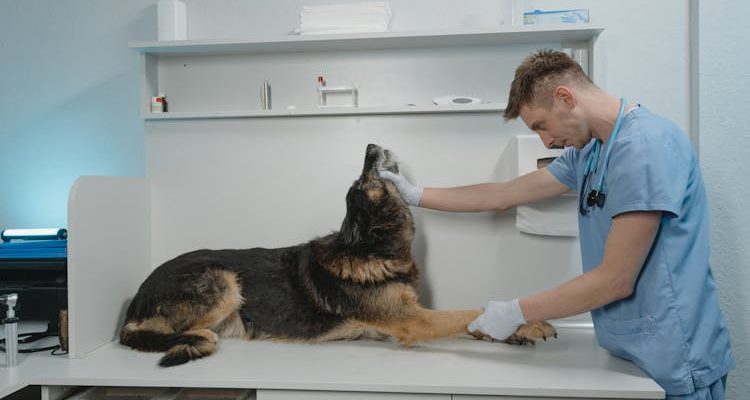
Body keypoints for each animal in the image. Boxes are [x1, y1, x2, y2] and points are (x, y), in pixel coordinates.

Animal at [120, 143, 560, 366]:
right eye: (364, 182)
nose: (370, 145)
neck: (372, 247)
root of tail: (136, 297)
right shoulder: (412, 321)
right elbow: (467, 312)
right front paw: (523, 322)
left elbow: (473, 320)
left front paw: (518, 327)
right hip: (222, 281)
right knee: (145, 334)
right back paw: (192, 337)